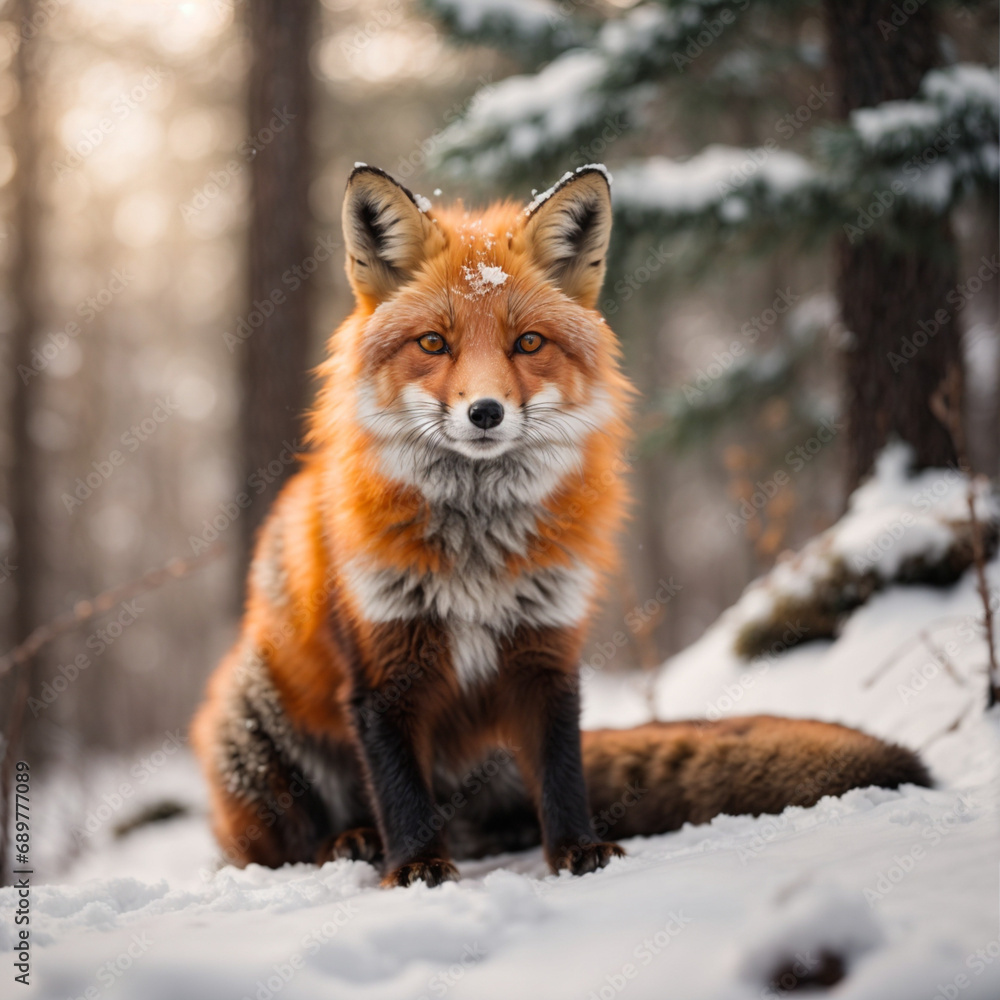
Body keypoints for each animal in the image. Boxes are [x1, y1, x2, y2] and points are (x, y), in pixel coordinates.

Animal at [192, 164, 929, 888]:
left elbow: (562, 770)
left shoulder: (546, 648)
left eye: (528, 343)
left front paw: (578, 850)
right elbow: (401, 790)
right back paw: (349, 842)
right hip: (256, 727)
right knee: (279, 845)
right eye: (433, 343)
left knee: (508, 812)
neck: (478, 550)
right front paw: (417, 867)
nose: (485, 412)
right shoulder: (382, 665)